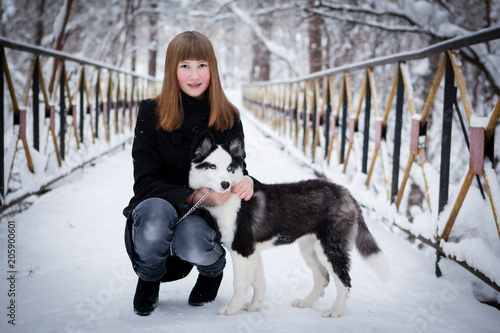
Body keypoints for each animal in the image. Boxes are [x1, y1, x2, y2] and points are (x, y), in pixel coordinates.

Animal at [189, 132, 388, 316]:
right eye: (212, 166)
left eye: (230, 167)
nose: (225, 184)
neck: (231, 199)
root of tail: (347, 194)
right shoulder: (253, 252)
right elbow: (258, 282)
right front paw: (255, 306)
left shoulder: (243, 249)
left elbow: (240, 284)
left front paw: (231, 309)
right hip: (309, 248)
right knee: (322, 277)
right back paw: (305, 303)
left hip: (332, 247)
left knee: (344, 281)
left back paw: (335, 311)